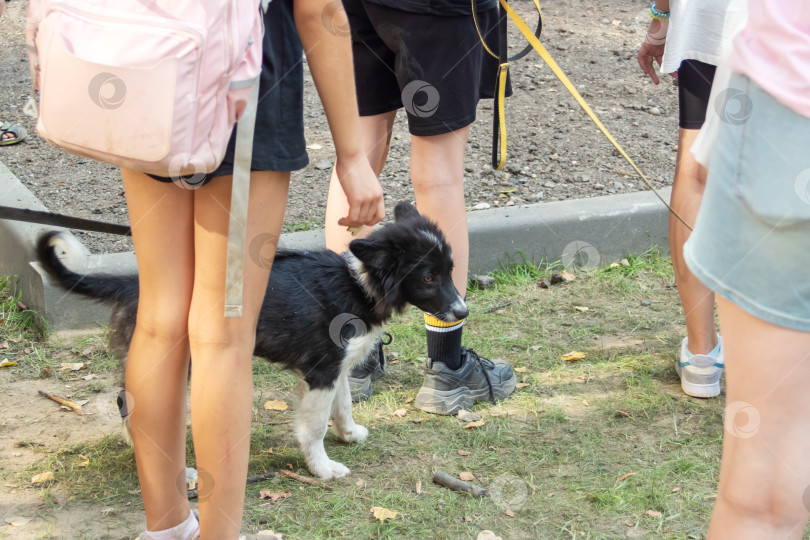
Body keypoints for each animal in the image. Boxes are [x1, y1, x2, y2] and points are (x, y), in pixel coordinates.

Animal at [38, 201, 468, 476]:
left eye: (449, 269)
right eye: (428, 277)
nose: (463, 313)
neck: (359, 283)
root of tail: (131, 283)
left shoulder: (335, 367)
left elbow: (343, 405)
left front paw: (349, 435)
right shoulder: (320, 371)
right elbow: (314, 426)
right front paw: (323, 468)